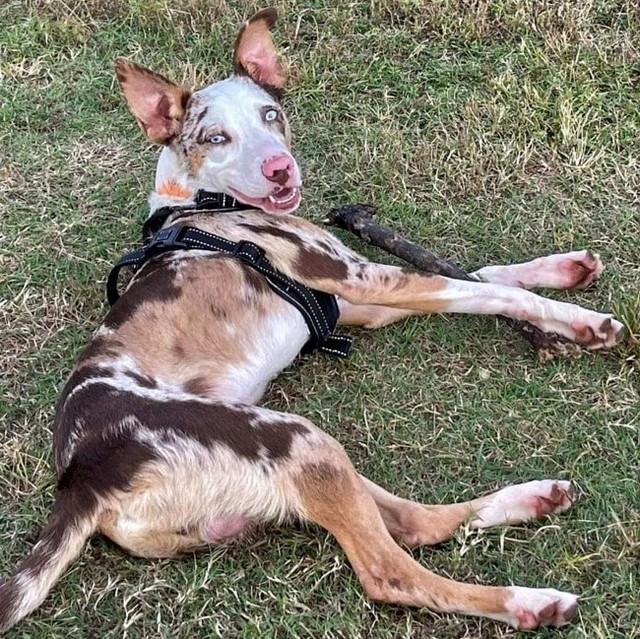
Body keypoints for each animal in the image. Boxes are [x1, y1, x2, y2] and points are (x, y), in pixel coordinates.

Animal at [0, 6, 624, 636]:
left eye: (270, 114)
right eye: (215, 137)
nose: (280, 170)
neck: (203, 200)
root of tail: (79, 485)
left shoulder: (356, 300)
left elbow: (482, 274)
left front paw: (562, 270)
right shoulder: (360, 279)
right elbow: (491, 291)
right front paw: (581, 321)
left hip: (299, 455)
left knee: (410, 524)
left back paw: (528, 500)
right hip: (294, 438)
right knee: (389, 570)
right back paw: (525, 600)